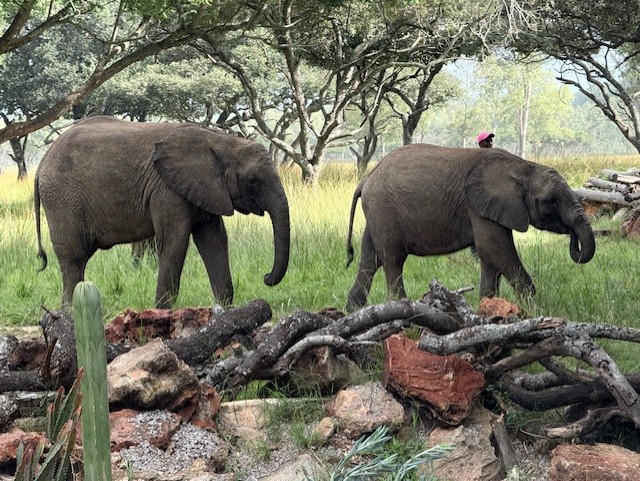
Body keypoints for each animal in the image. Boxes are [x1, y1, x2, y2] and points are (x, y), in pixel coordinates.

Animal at [34, 116, 290, 309]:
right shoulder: (166, 189)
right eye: (252, 180)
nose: (266, 278)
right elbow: (175, 241)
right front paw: (162, 310)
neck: (220, 141)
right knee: (74, 258)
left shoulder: (205, 189)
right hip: (63, 199)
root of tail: (43, 160)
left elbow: (214, 240)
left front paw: (226, 308)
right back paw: (69, 312)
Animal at [345, 144, 595, 311]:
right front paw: (534, 311)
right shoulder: (479, 205)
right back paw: (400, 307)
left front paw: (488, 308)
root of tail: (365, 179)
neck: (524, 166)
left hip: (377, 213)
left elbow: (490, 257)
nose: (573, 236)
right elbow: (494, 249)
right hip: (384, 210)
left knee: (370, 259)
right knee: (393, 259)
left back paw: (353, 311)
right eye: (551, 201)